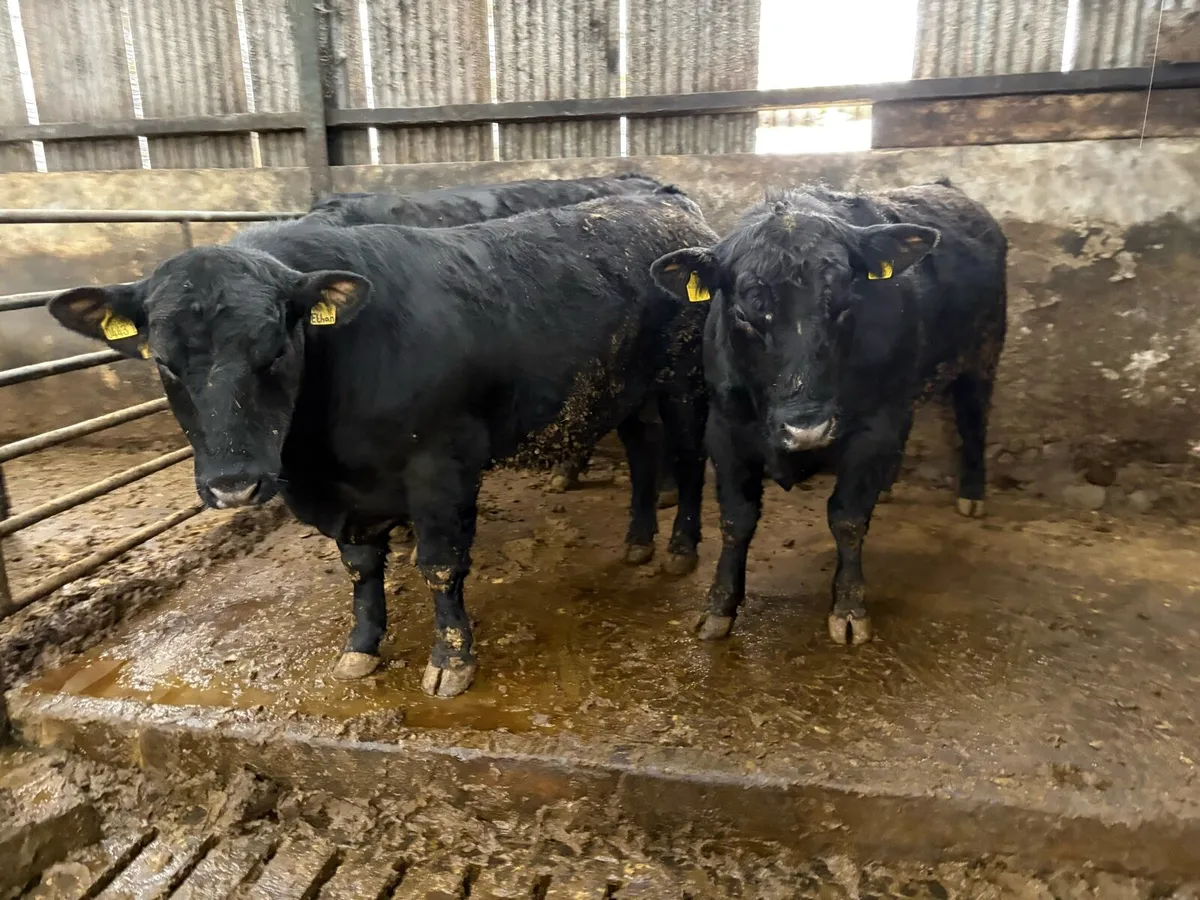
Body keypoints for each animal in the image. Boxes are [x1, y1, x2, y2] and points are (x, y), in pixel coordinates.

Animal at [651, 180, 1006, 646]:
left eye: (845, 302)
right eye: (744, 314)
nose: (807, 429)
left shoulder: (873, 425)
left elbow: (848, 518)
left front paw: (849, 609)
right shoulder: (725, 427)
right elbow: (735, 519)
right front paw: (718, 607)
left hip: (982, 354)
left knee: (973, 421)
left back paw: (972, 494)